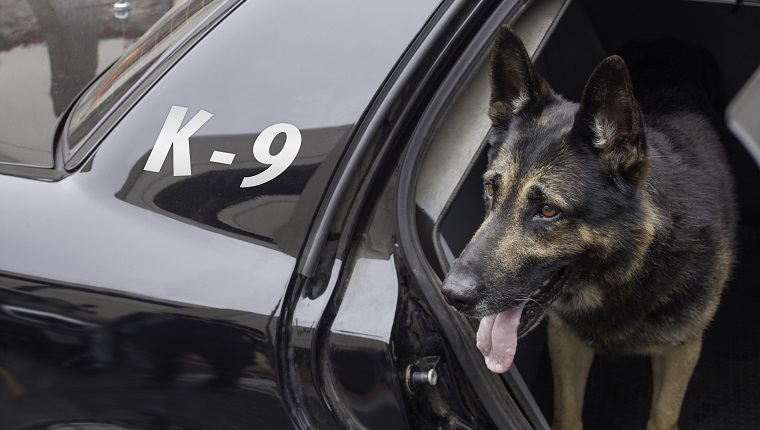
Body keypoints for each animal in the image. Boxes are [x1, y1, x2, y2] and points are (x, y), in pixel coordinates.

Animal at [440, 25, 736, 428]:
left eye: (548, 210)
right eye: (490, 190)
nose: (451, 296)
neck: (630, 268)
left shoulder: (682, 349)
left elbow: (662, 417)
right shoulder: (566, 340)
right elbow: (567, 413)